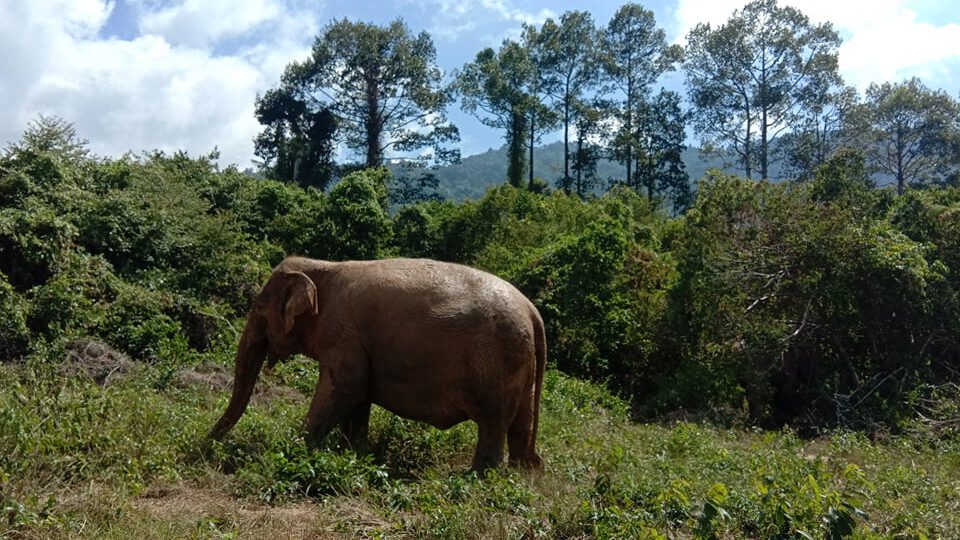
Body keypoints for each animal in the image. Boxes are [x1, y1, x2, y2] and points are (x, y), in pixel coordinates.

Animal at [208, 255, 548, 470]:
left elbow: (347, 387)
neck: (321, 266)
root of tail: (533, 313)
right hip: (521, 365)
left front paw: (294, 447)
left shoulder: (343, 333)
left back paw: (476, 478)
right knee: (520, 423)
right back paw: (521, 473)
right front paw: (353, 453)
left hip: (497, 363)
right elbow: (358, 398)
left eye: (259, 309)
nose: (208, 444)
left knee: (492, 423)